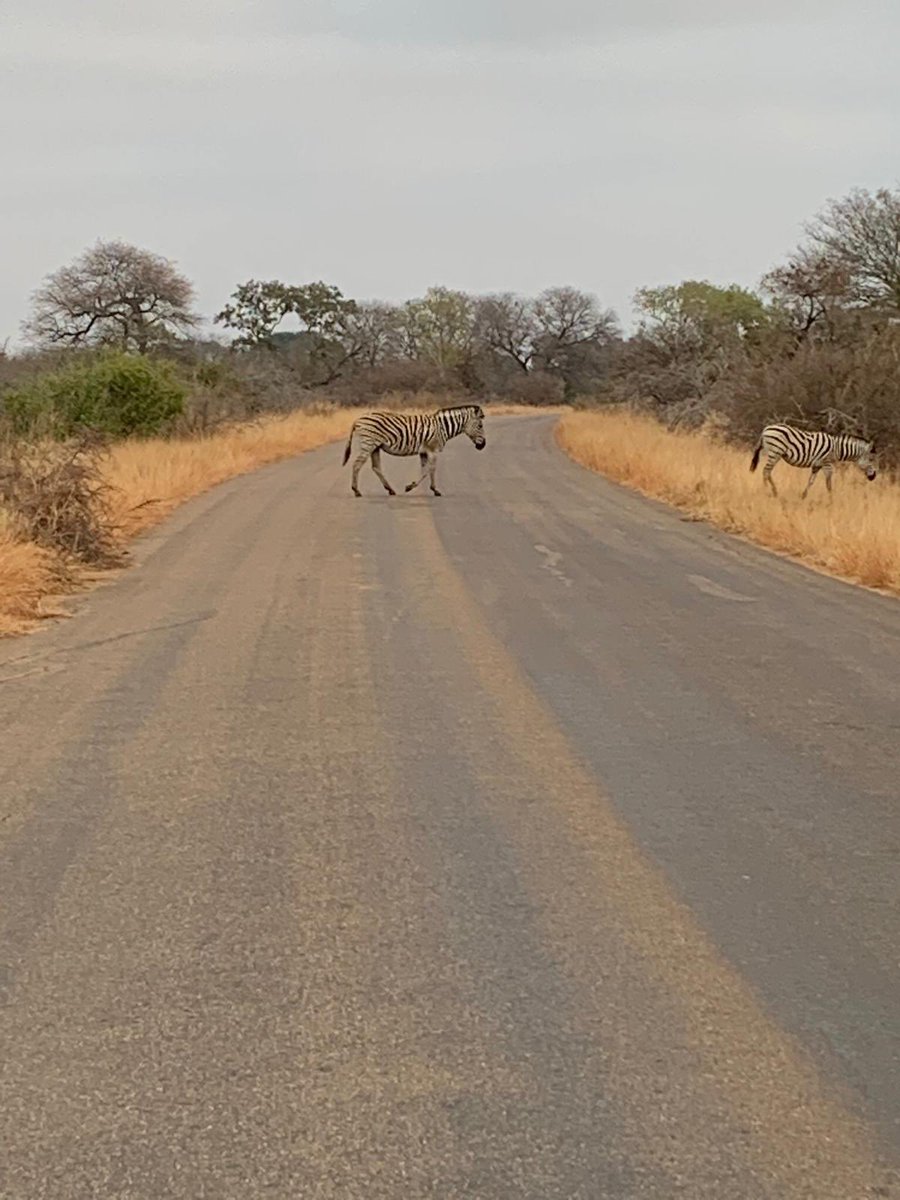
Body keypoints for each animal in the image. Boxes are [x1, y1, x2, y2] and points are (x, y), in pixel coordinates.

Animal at [341, 405, 486, 497]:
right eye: (480, 426)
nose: (483, 446)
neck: (443, 427)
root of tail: (358, 418)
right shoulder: (432, 450)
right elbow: (431, 469)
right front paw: (434, 490)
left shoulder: (423, 452)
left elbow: (424, 471)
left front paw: (411, 486)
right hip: (369, 443)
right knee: (357, 464)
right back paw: (356, 491)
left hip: (375, 447)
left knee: (376, 467)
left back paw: (390, 490)